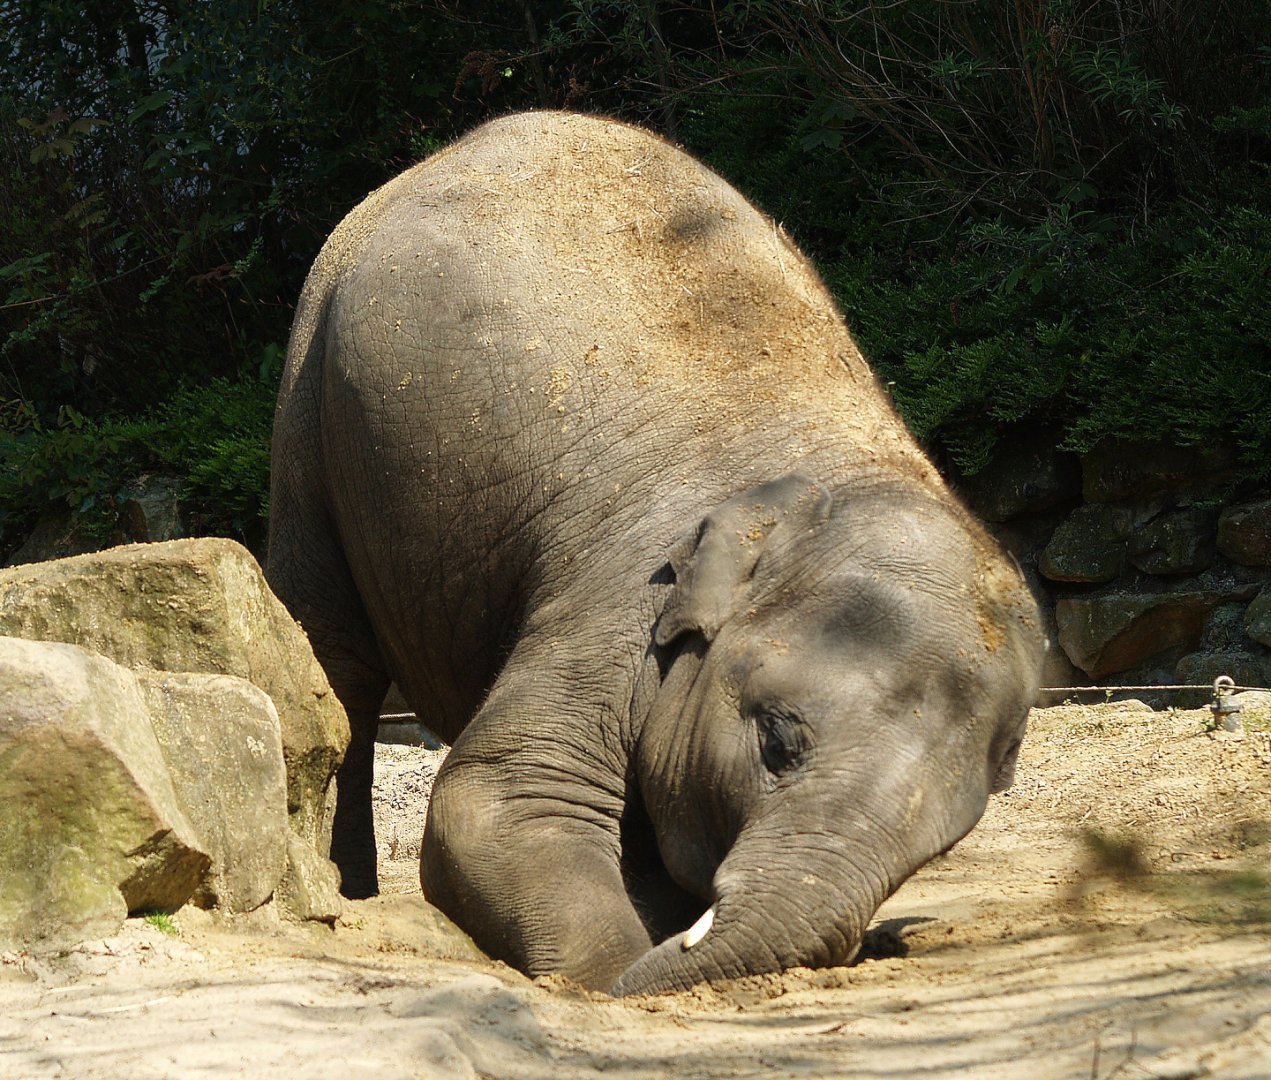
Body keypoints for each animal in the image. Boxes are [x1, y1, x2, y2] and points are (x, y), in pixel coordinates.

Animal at [266, 111, 1042, 995]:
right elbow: (497, 800)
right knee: (337, 659)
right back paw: (344, 893)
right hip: (311, 385)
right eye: (776, 743)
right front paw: (610, 972)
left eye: (942, 842)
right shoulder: (620, 598)